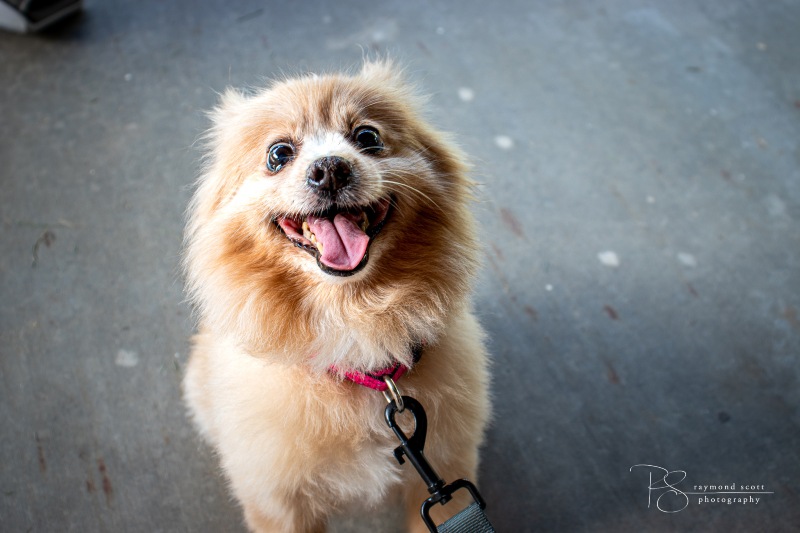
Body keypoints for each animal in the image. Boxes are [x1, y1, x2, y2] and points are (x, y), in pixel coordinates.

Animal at [184, 60, 490, 528]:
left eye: (367, 137)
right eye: (279, 154)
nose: (330, 168)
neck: (355, 330)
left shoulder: (445, 479)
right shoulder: (279, 503)